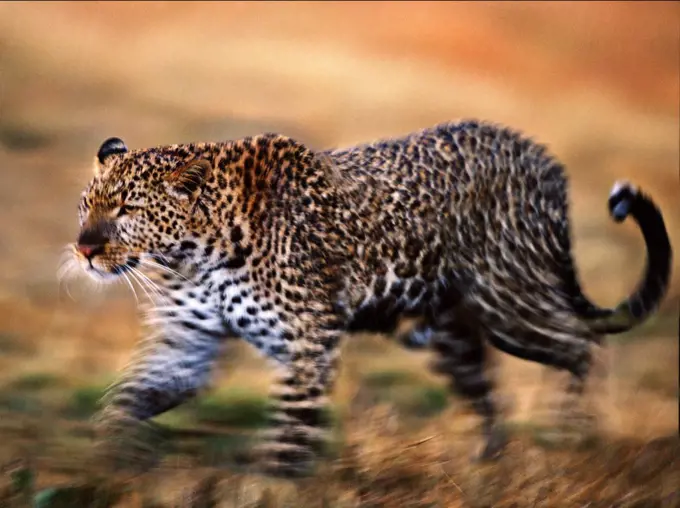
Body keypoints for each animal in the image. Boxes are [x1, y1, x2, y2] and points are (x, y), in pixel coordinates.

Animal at [66, 121, 672, 478]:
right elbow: (125, 401)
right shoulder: (185, 345)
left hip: (510, 302)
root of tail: (545, 161)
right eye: (87, 204)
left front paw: (273, 485)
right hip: (451, 336)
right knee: (490, 398)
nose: (84, 249)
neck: (194, 254)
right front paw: (103, 462)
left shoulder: (309, 341)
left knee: (582, 343)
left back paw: (568, 437)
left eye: (127, 210)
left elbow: (290, 438)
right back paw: (489, 468)